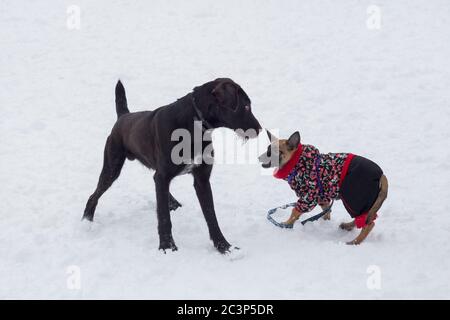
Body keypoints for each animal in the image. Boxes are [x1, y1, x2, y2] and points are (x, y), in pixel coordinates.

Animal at [82, 79, 262, 254]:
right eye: (246, 106)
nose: (260, 129)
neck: (195, 124)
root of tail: (123, 117)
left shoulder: (201, 180)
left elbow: (211, 216)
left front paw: (224, 246)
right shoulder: (163, 176)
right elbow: (163, 217)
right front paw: (167, 247)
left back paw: (173, 203)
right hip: (112, 167)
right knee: (94, 195)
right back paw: (87, 220)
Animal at [258, 131, 388, 245]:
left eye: (275, 152)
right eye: (267, 149)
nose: (259, 158)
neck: (297, 162)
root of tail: (381, 175)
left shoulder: (308, 198)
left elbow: (295, 212)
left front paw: (286, 224)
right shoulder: (322, 197)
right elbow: (326, 212)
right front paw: (324, 223)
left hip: (354, 200)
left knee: (368, 224)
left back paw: (355, 242)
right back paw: (348, 226)